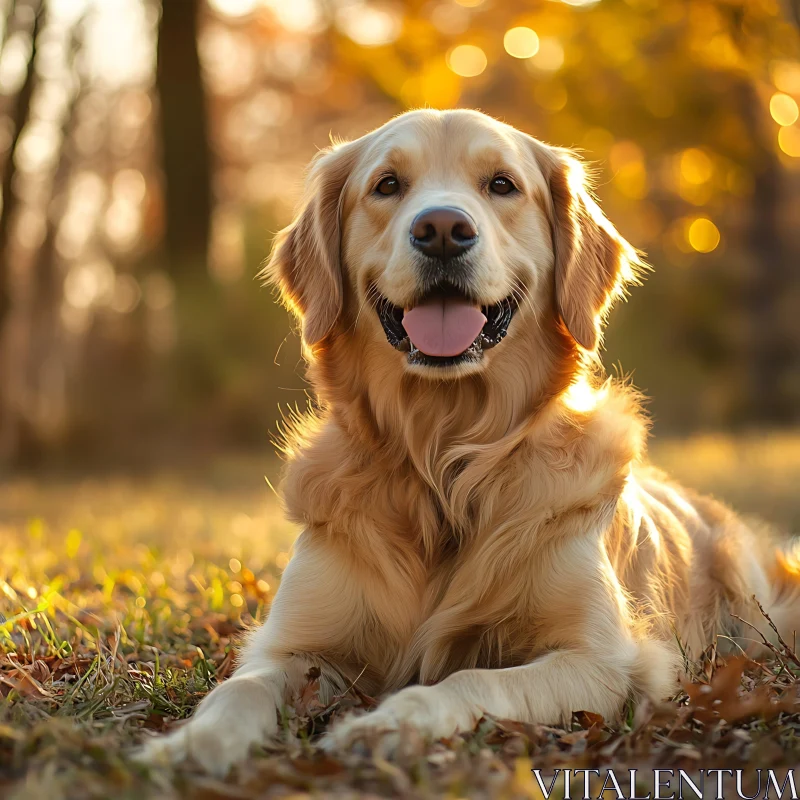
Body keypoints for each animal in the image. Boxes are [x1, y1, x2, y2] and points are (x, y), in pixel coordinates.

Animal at [138, 108, 800, 776]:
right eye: (387, 185)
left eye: (502, 185)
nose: (441, 230)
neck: (443, 456)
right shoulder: (295, 646)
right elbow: (239, 687)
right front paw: (192, 742)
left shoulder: (605, 659)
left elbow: (473, 679)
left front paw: (391, 723)